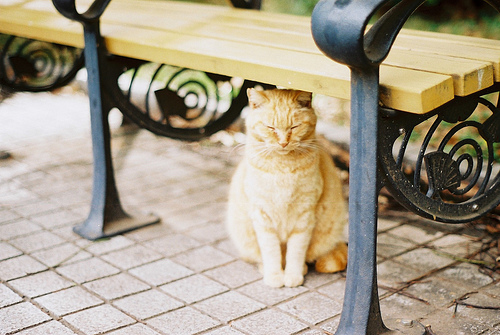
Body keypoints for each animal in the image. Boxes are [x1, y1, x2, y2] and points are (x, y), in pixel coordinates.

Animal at [228, 88, 348, 288]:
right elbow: (271, 251)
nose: (283, 143)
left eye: (294, 127)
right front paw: (275, 275)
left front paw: (293, 275)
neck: (282, 168)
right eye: (270, 128)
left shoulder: (304, 216)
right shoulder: (262, 216)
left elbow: (296, 252)